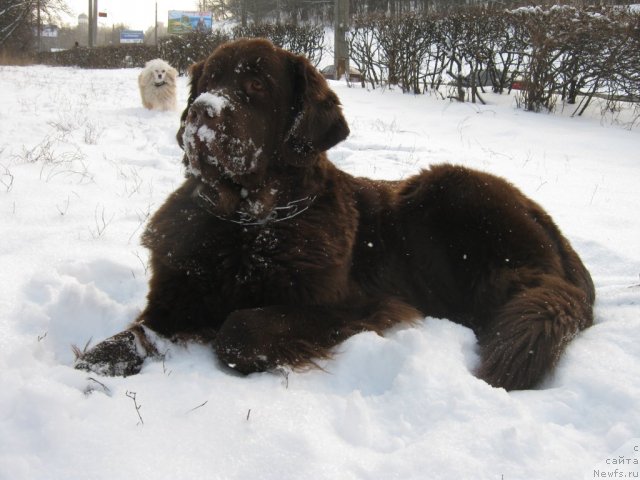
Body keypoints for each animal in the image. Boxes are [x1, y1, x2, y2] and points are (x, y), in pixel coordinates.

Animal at [76, 37, 596, 390]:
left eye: (255, 85)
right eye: (207, 83)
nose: (203, 110)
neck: (250, 224)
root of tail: (548, 224)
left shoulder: (357, 304)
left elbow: (238, 328)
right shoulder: (175, 293)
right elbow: (133, 333)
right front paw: (99, 360)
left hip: (452, 188)